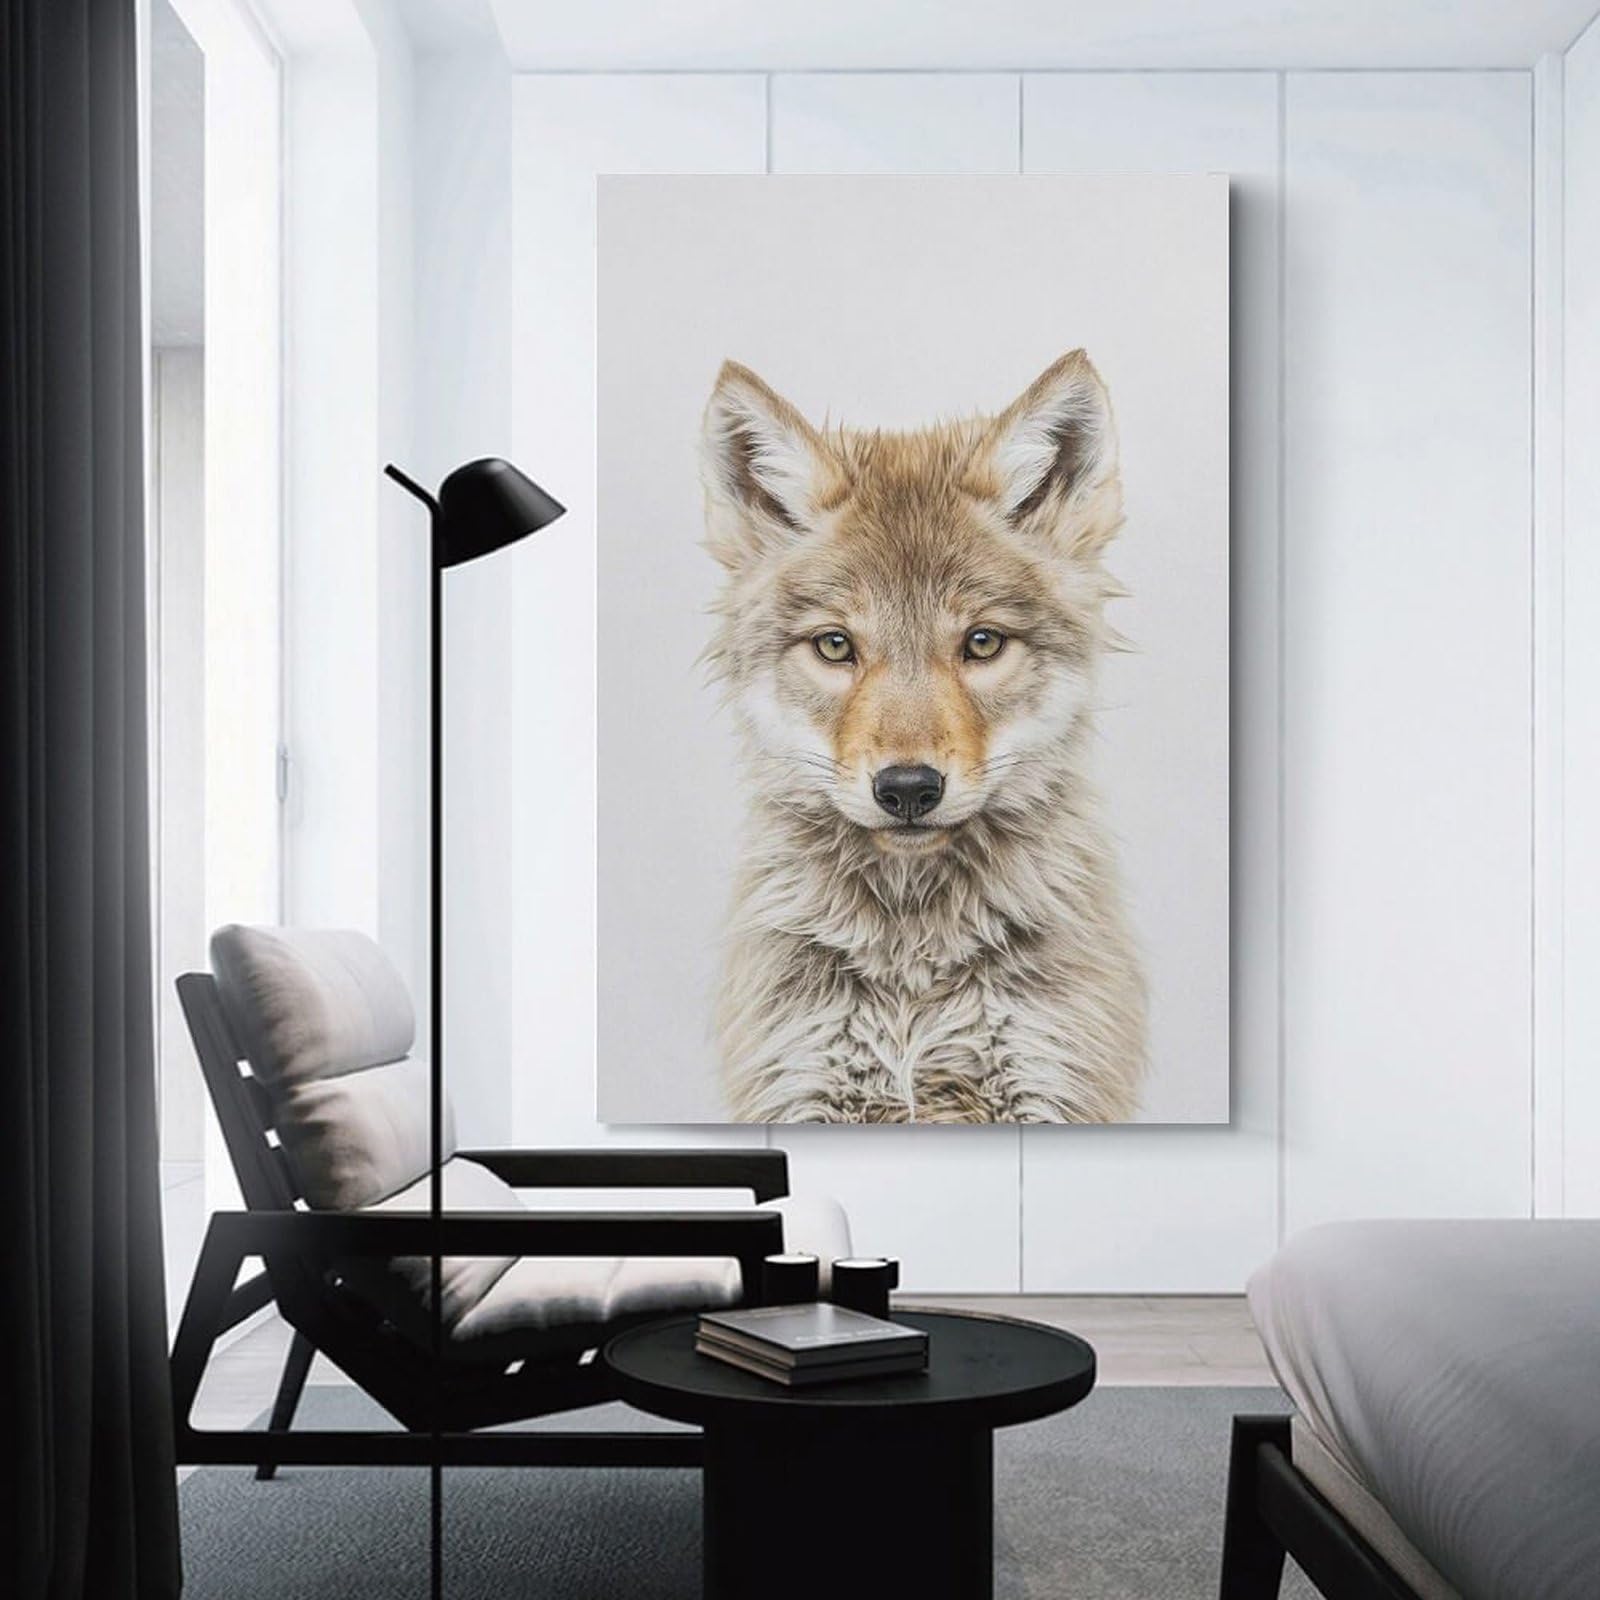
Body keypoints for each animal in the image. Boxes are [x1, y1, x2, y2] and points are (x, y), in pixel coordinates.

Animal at [701, 352, 1146, 1123]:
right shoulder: (804, 1089)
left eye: (982, 642)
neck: (911, 968)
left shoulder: (1048, 1088)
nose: (907, 790)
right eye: (835, 645)